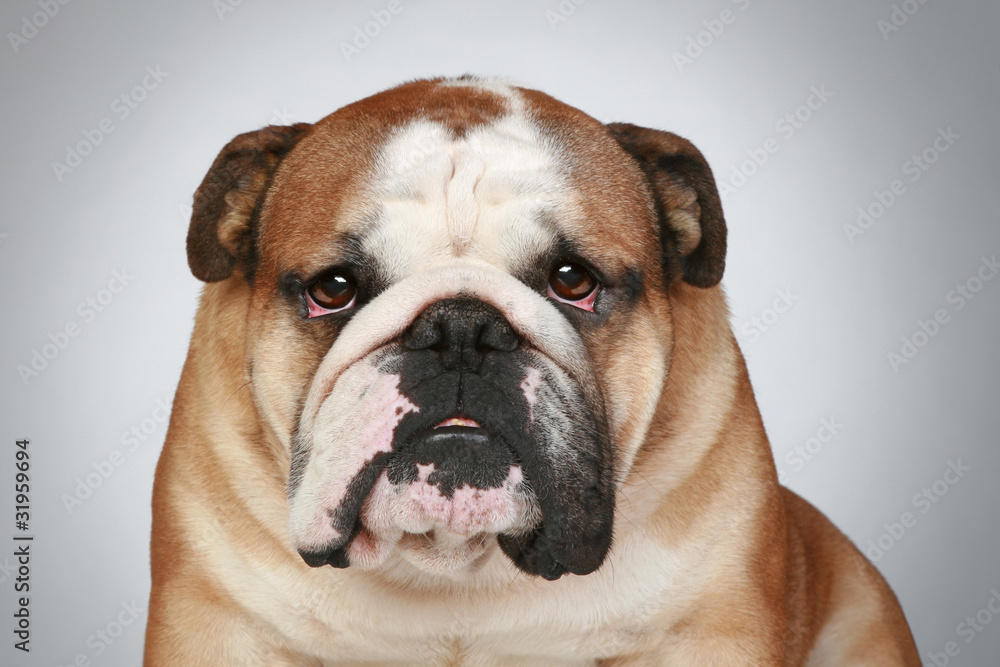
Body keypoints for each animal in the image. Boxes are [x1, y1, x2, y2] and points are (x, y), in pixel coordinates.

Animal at [146, 75, 920, 664]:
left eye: (573, 280)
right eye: (332, 289)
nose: (460, 328)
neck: (459, 564)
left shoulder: (707, 625)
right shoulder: (218, 622)